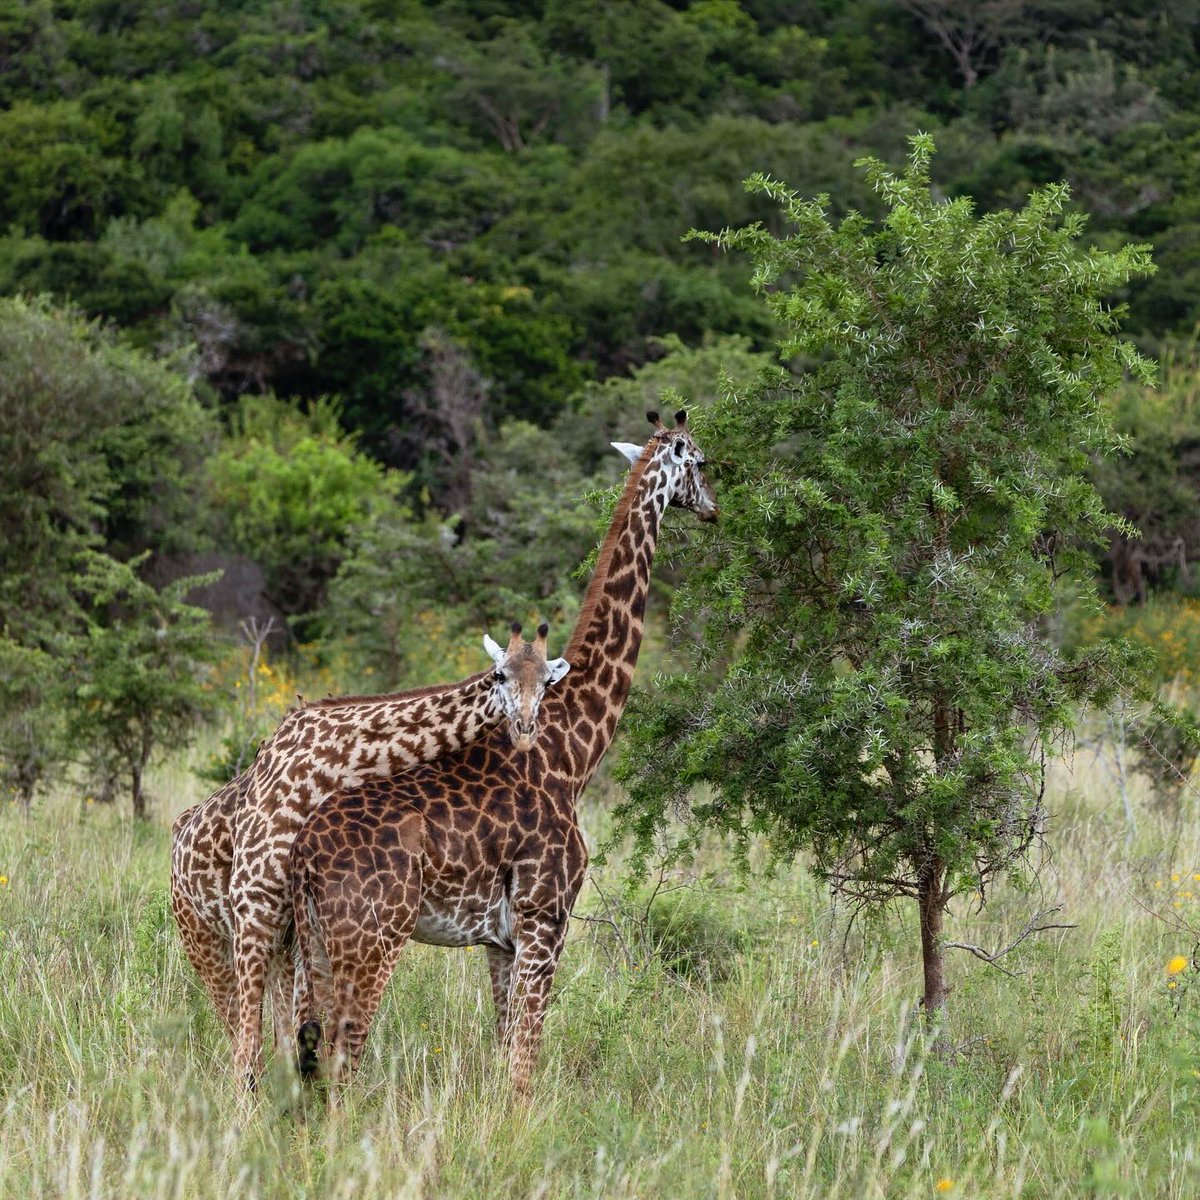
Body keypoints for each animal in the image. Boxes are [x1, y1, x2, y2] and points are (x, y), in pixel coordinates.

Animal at [172, 623, 569, 1073]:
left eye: (547, 681)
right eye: (500, 675)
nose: (525, 728)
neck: (339, 761)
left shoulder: (292, 925)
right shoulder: (254, 909)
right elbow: (251, 1048)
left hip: (277, 944)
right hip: (206, 940)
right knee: (242, 1035)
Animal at [288, 410, 717, 1094]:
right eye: (699, 462)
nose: (712, 510)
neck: (574, 747)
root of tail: (303, 855)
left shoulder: (500, 941)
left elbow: (503, 1045)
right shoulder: (546, 919)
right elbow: (523, 1062)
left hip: (313, 946)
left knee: (298, 1050)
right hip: (372, 941)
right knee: (339, 1055)